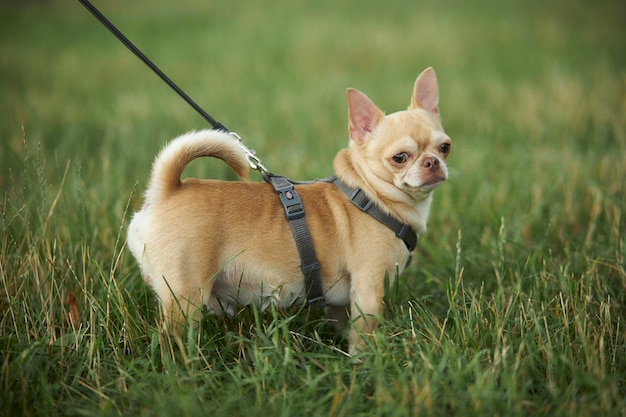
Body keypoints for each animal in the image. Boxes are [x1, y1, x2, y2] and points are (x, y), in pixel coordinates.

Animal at [127, 66, 448, 352]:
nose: (432, 162)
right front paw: (365, 364)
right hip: (186, 298)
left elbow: (345, 326)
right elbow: (363, 335)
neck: (371, 196)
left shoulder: (342, 302)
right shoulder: (369, 291)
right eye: (400, 157)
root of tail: (167, 189)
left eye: (445, 147)